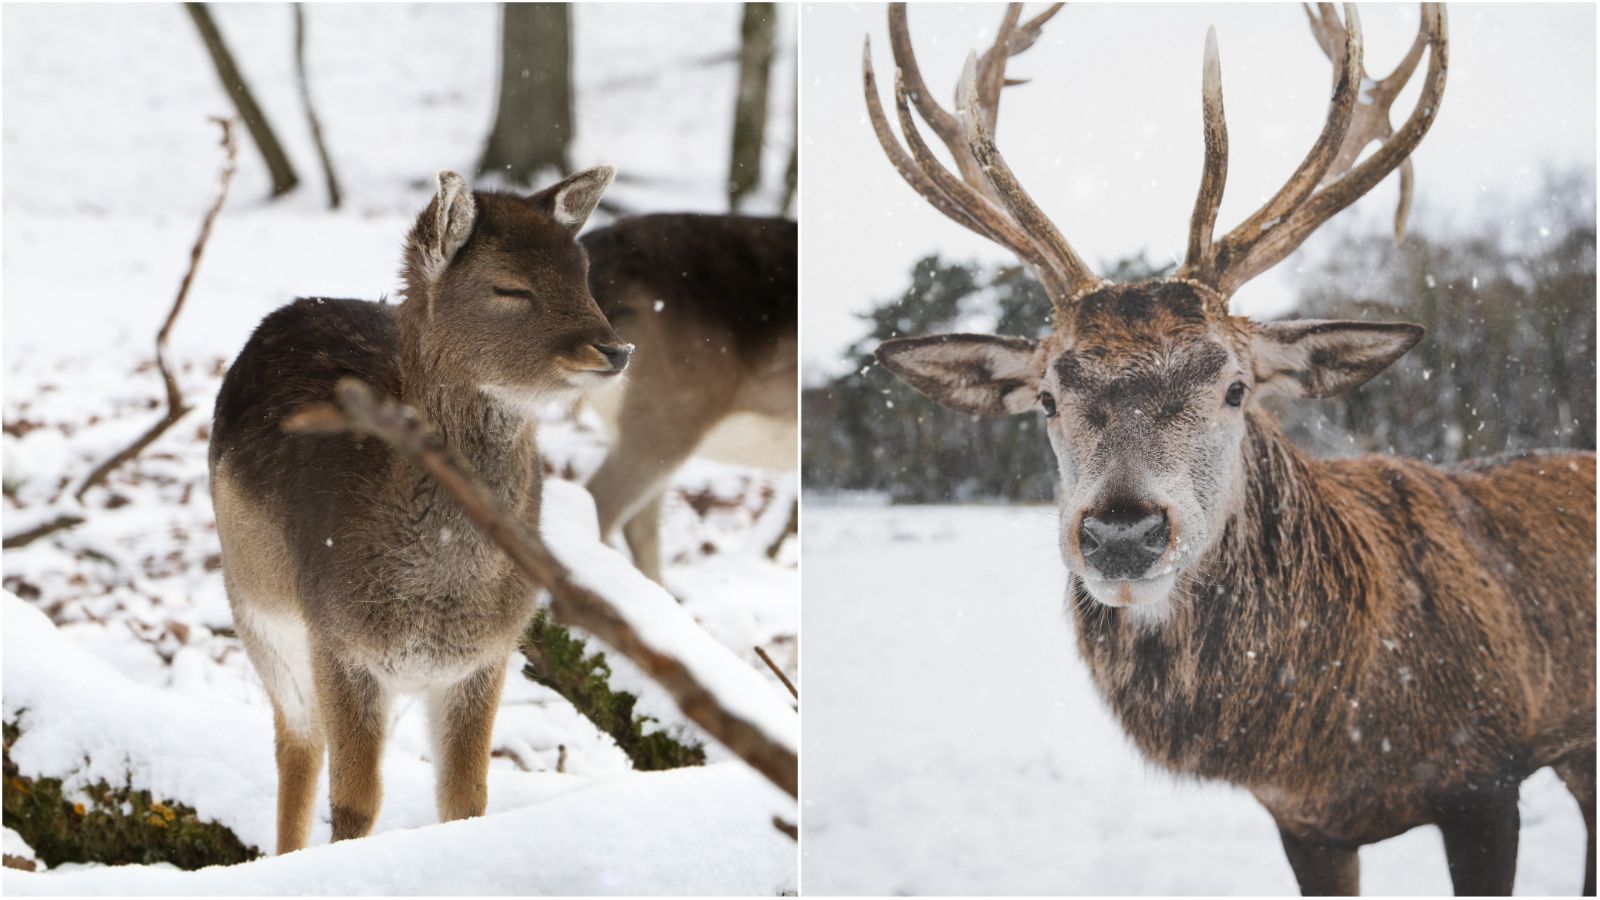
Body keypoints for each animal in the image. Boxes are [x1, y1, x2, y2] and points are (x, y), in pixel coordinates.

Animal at [211, 166, 630, 845]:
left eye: (583, 273)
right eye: (509, 287)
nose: (615, 350)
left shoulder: (486, 656)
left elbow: (465, 797)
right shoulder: (337, 642)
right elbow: (355, 803)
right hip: (255, 609)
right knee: (296, 740)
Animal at [870, 3, 1593, 890]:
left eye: (1236, 387)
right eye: (1046, 399)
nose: (1121, 532)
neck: (1338, 732)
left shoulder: (1486, 775)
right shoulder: (1304, 824)